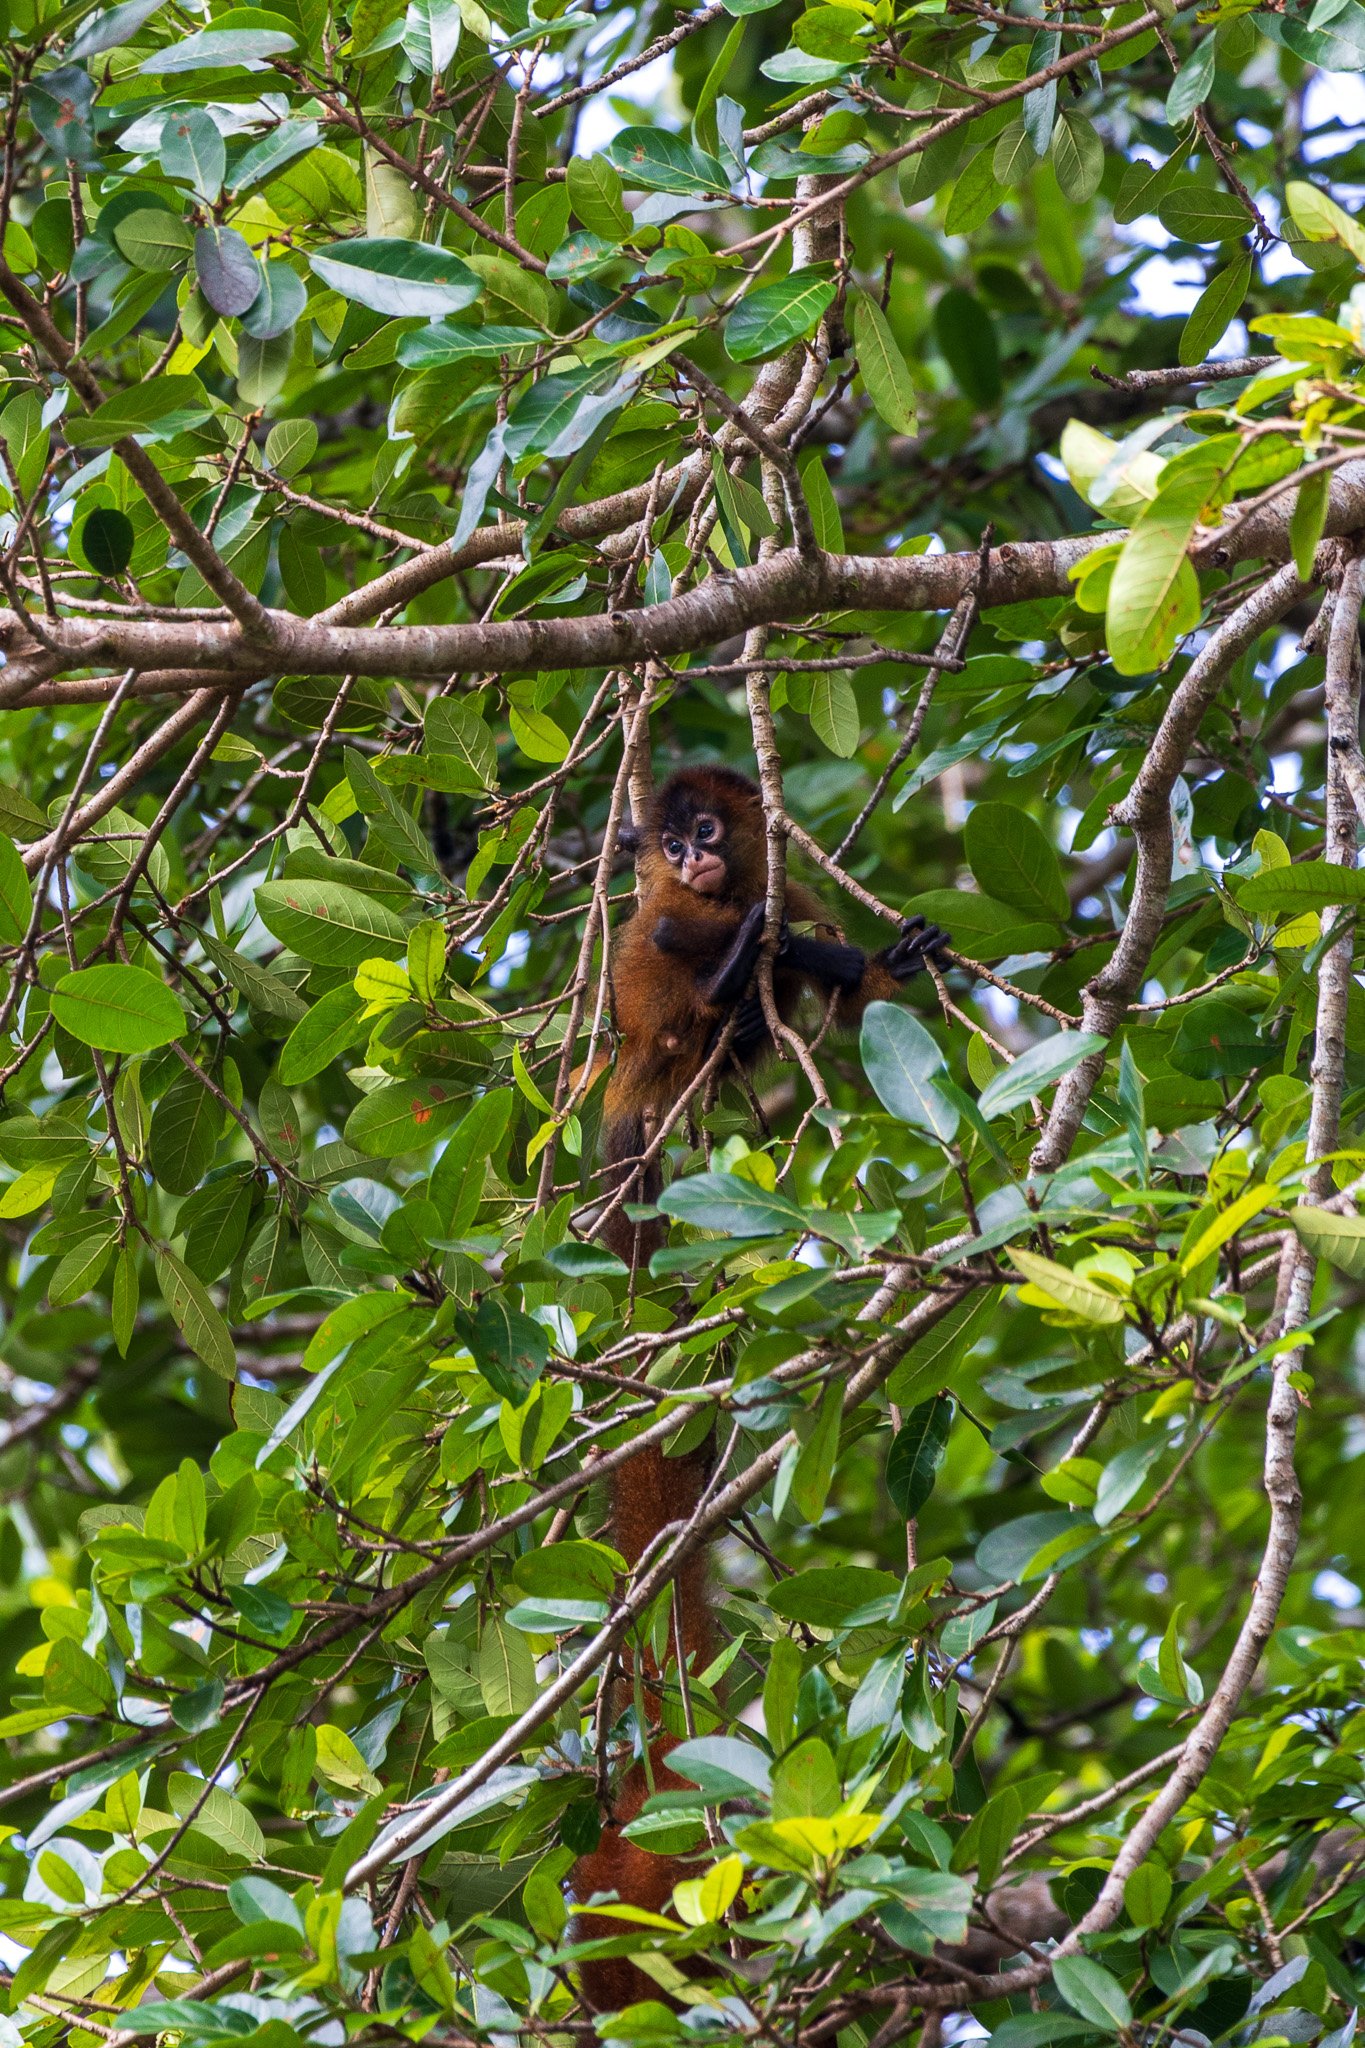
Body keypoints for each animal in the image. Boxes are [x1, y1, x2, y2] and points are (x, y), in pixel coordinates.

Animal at [568, 765, 949, 1998]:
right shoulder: (665, 908)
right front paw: (763, 950)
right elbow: (671, 930)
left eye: (708, 826)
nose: (686, 853)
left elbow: (848, 981)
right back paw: (736, 988)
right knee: (674, 969)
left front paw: (883, 962)